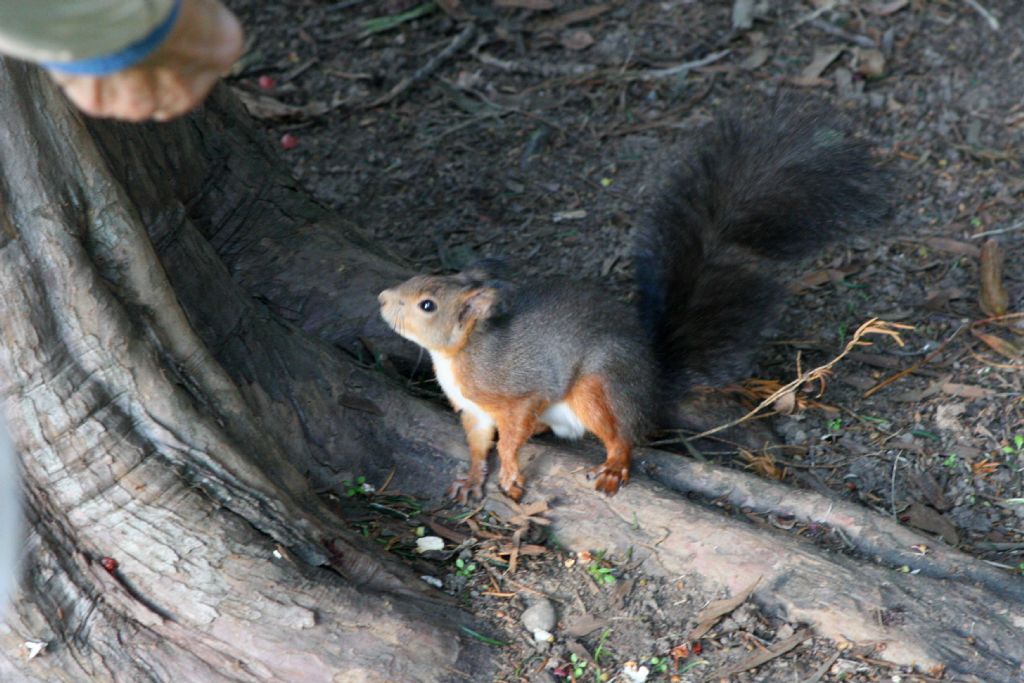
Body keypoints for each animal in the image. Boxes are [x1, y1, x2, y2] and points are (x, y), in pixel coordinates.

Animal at [376, 107, 888, 501]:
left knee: (623, 434)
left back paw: (614, 467)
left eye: (426, 304)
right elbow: (479, 446)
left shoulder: (518, 392)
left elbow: (511, 437)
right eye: (420, 278)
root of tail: (652, 380)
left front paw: (511, 474)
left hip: (597, 384)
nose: (381, 298)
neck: (459, 355)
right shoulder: (475, 412)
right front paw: (471, 478)